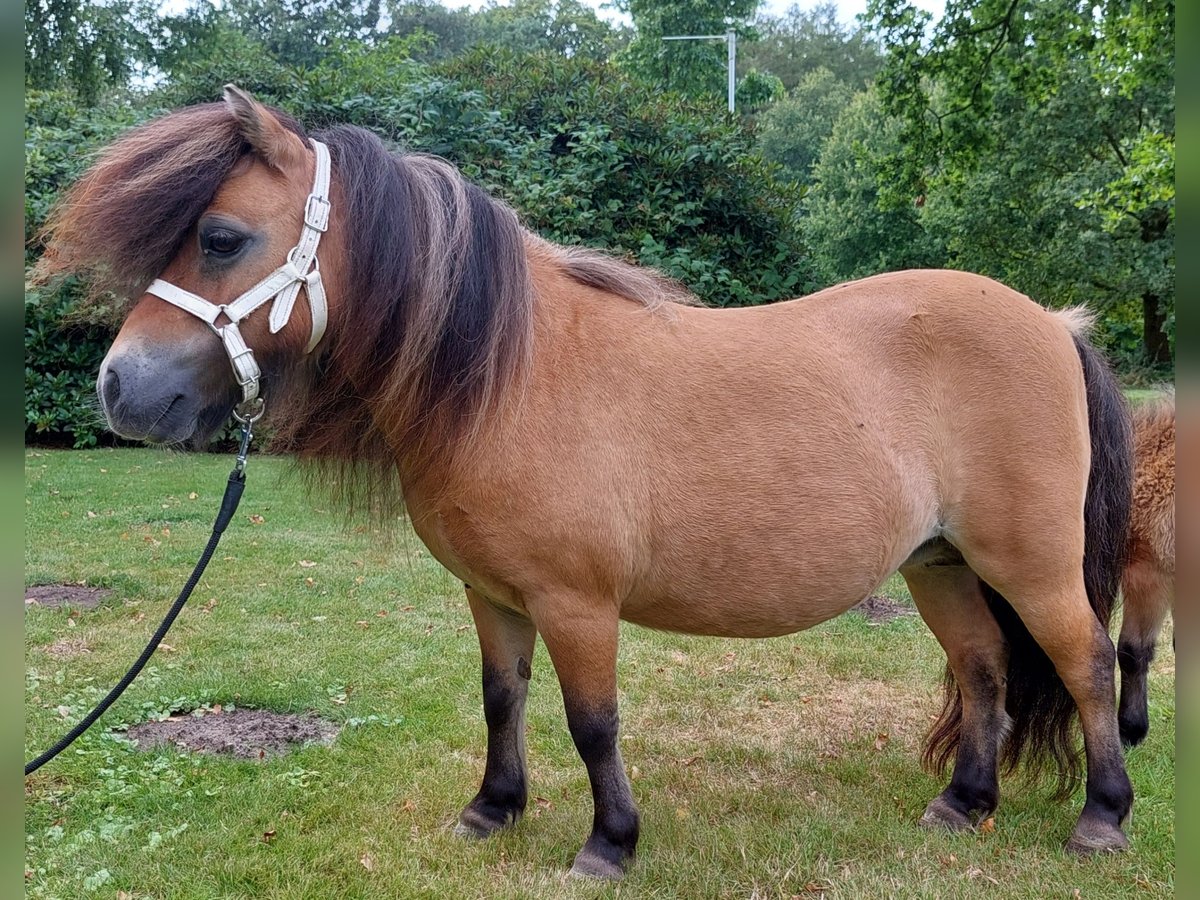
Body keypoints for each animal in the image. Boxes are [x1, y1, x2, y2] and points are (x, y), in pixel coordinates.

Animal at [25, 88, 1132, 878]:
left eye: (219, 238)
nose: (120, 388)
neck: (510, 376)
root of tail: (1053, 322)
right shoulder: (494, 596)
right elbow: (500, 699)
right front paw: (493, 810)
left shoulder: (576, 602)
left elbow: (591, 721)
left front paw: (609, 845)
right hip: (939, 563)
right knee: (985, 667)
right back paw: (965, 804)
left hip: (1030, 563)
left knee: (1086, 664)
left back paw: (1102, 819)